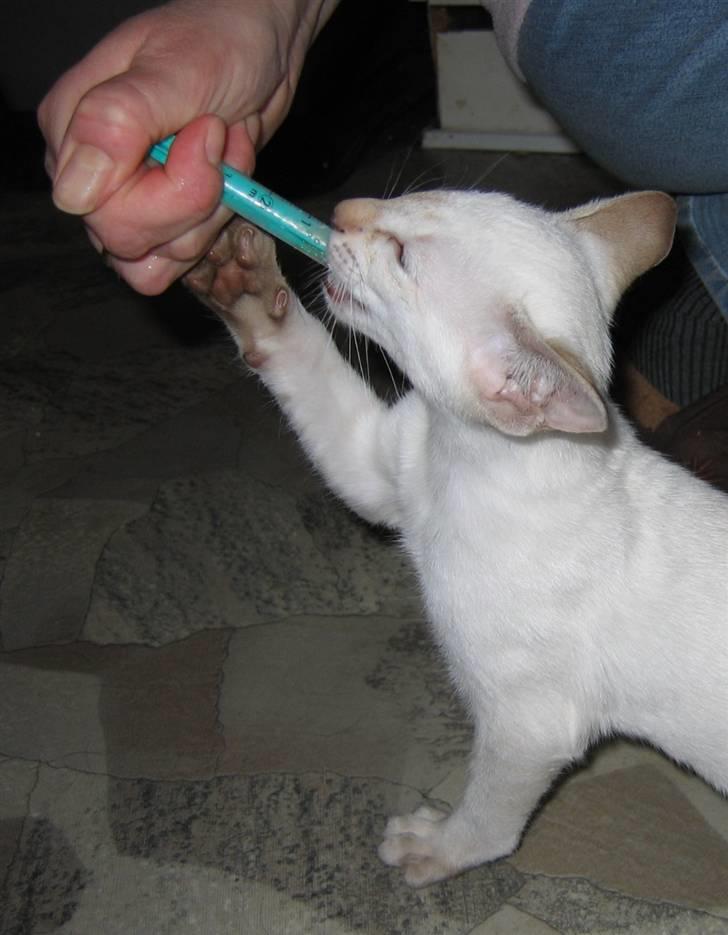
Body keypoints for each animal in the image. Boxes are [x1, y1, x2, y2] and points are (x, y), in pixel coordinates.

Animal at [191, 190, 724, 884]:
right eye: (418, 196)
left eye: (401, 258)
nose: (342, 209)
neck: (459, 462)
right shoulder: (373, 469)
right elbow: (300, 358)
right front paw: (244, 281)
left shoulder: (529, 725)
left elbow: (489, 820)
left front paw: (436, 850)